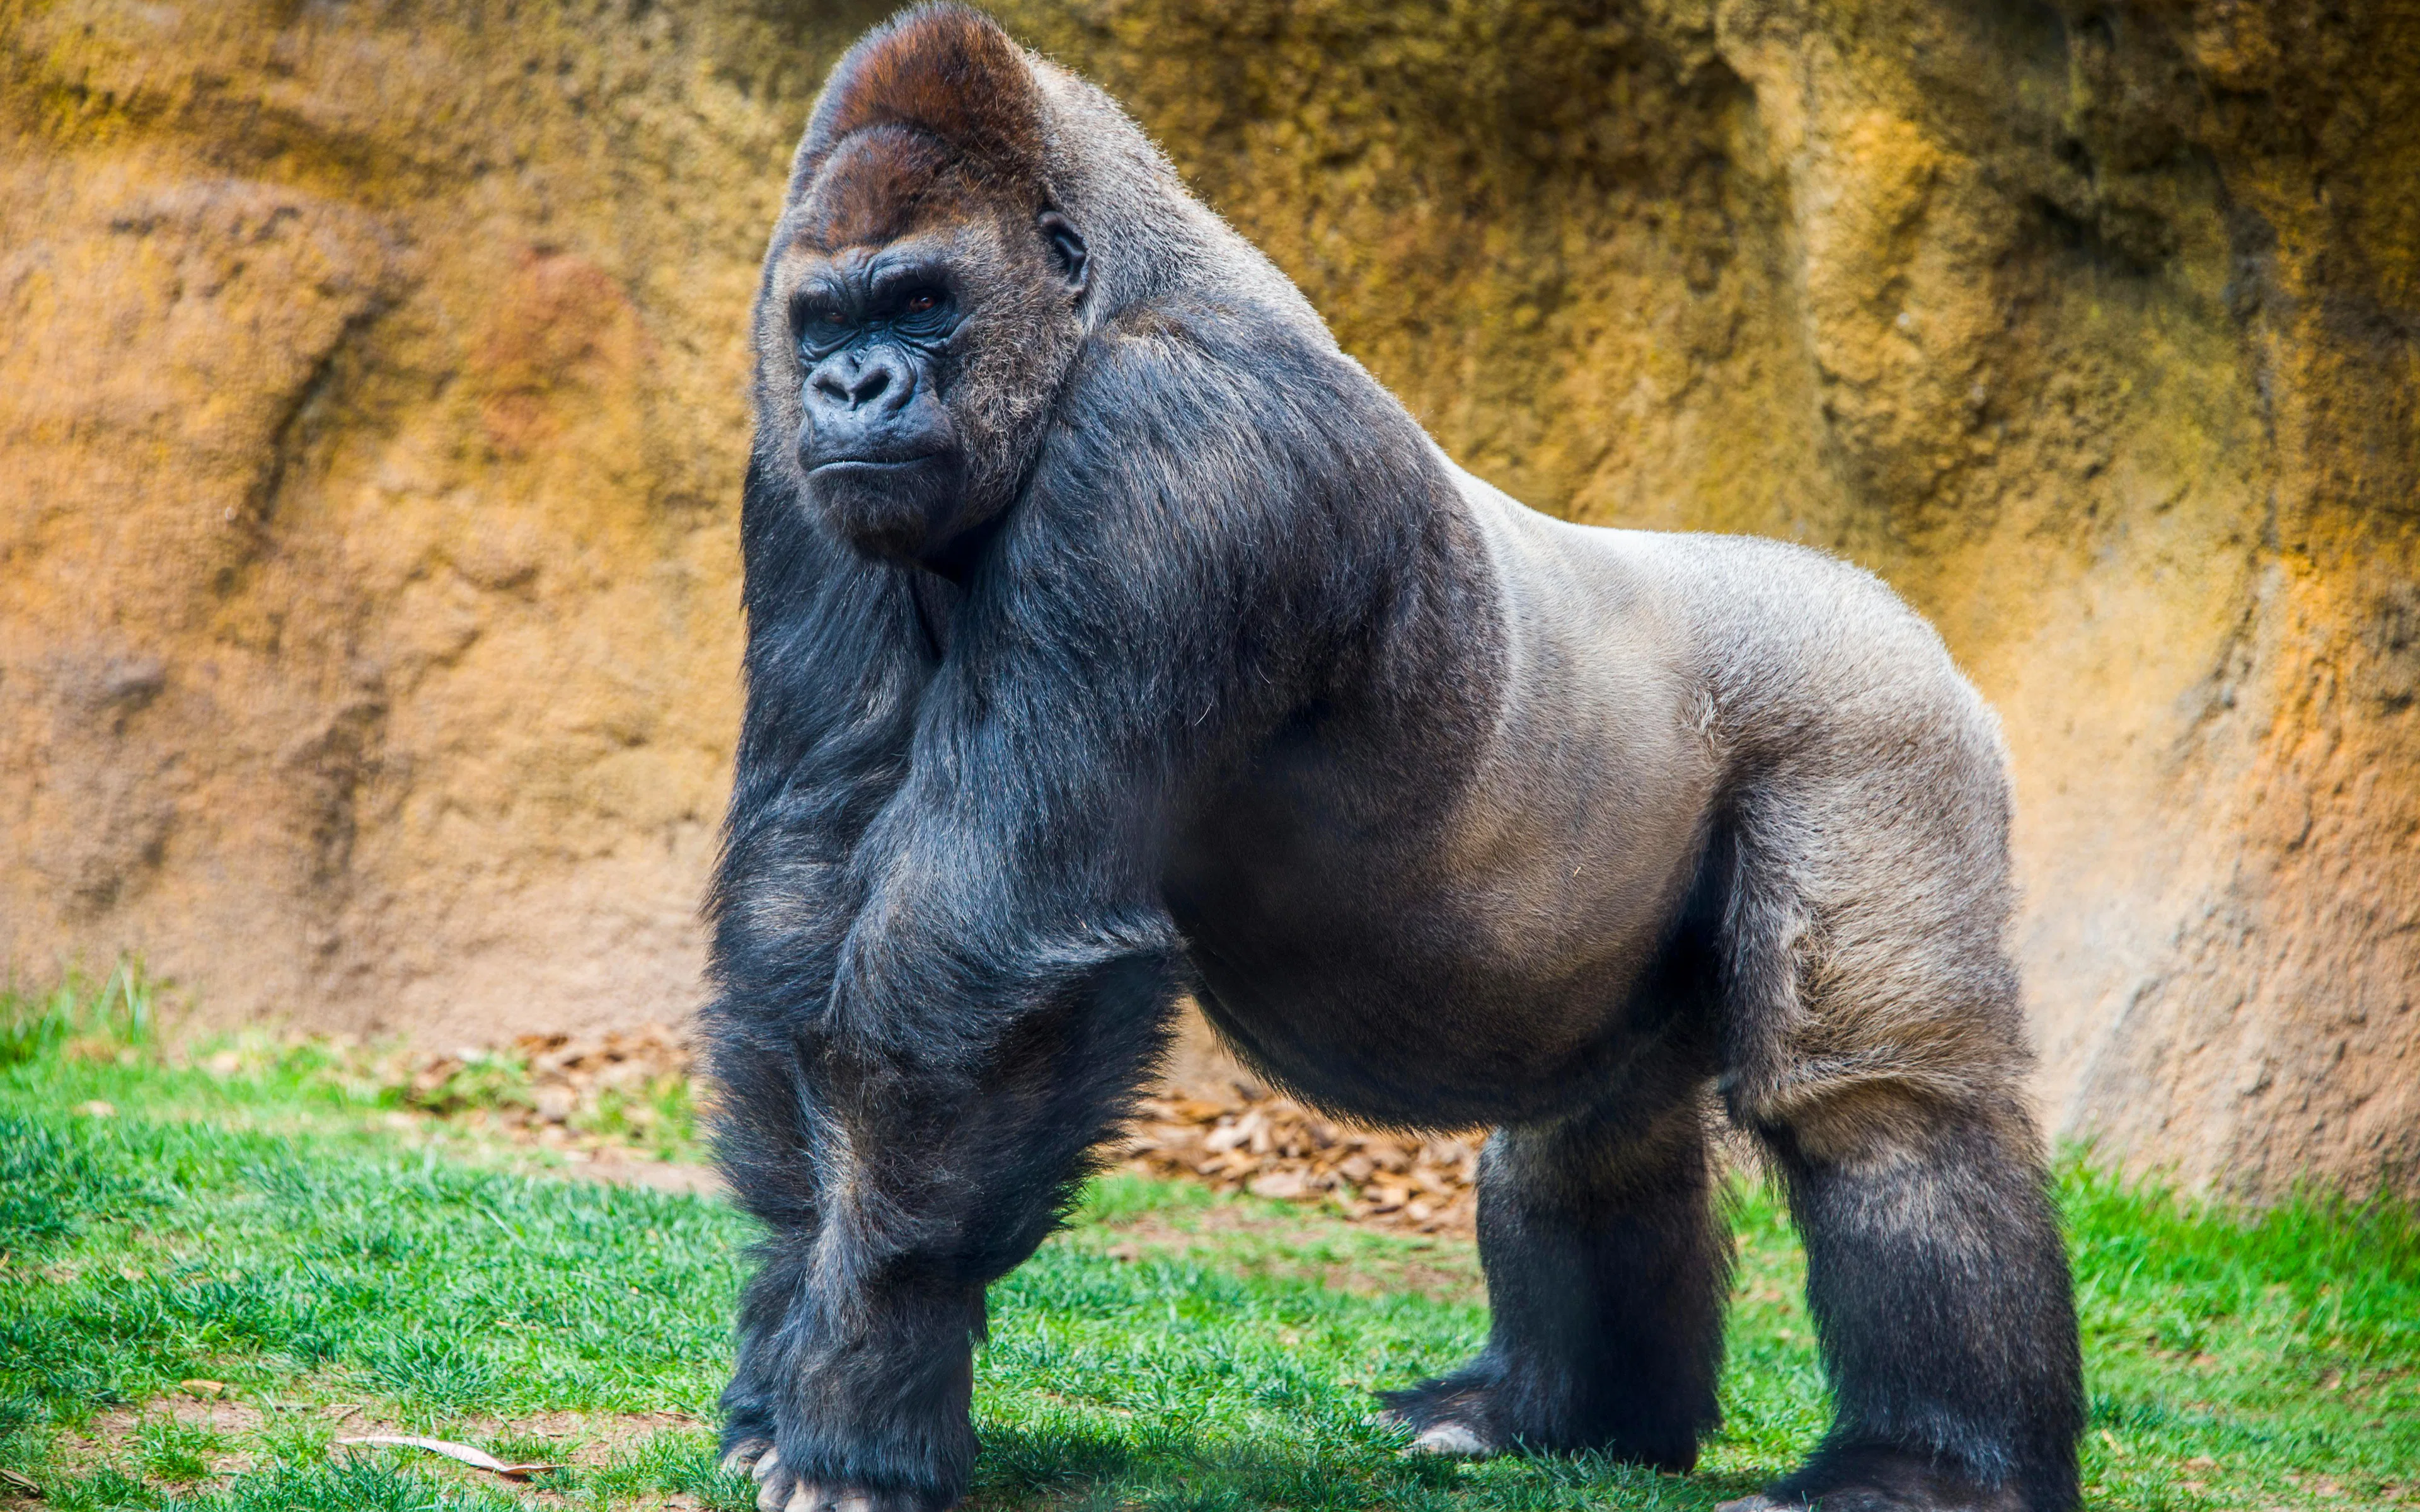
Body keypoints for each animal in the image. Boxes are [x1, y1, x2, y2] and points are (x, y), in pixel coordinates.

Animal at [697, 8, 2084, 1512]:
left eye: (921, 301)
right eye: (826, 319)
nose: (851, 385)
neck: (1108, 294)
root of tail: (1889, 608)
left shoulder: (1173, 454)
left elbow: (980, 950)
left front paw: (866, 1398)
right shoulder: (792, 472)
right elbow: (805, 891)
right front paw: (792, 1344)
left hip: (1875, 722)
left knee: (1882, 1105)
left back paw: (1925, 1463)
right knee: (1594, 1124)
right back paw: (1561, 1417)